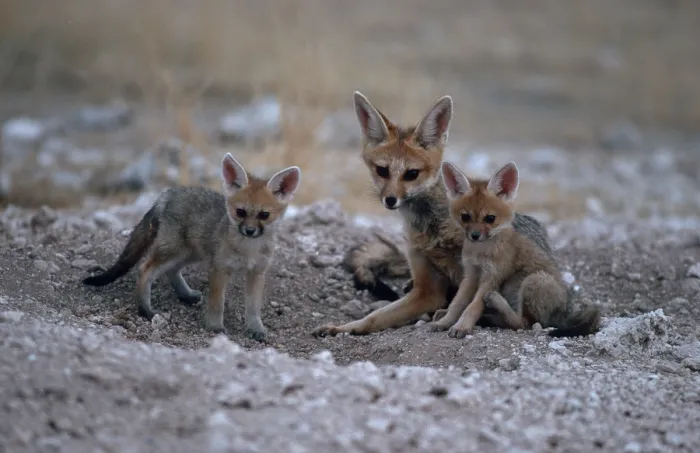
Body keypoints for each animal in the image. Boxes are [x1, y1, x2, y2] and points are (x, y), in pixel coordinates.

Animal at [82, 153, 301, 341]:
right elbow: (217, 303)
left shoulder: (257, 272)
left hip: (191, 253)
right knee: (145, 269)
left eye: (264, 215)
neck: (248, 250)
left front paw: (255, 328)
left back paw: (185, 295)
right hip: (175, 251)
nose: (249, 230)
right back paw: (145, 310)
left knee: (171, 271)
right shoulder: (219, 269)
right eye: (240, 212)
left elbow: (253, 308)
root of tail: (169, 192)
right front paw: (215, 327)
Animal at [312, 92, 552, 337]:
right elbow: (374, 317)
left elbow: (467, 300)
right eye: (382, 171)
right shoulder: (427, 289)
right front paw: (343, 328)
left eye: (412, 174)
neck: (433, 231)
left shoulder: (471, 273)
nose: (390, 200)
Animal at [432, 160, 601, 338]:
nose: (475, 236)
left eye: (490, 218)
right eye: (465, 217)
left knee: (524, 324)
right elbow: (457, 304)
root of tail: (563, 308)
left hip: (533, 281)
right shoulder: (471, 275)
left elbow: (472, 307)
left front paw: (462, 326)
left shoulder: (492, 277)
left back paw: (495, 303)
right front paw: (444, 322)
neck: (481, 252)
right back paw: (490, 316)